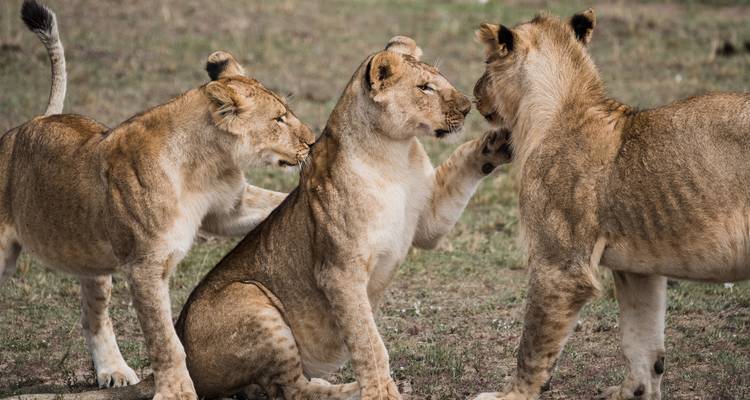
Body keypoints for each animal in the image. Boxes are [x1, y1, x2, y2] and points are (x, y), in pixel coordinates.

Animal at [1, 1, 314, 400]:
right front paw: (177, 391)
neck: (206, 166)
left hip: (92, 261)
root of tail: (31, 123)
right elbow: (165, 340)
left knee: (92, 317)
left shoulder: (229, 208)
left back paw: (114, 371)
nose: (313, 141)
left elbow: (273, 201)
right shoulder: (146, 266)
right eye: (278, 119)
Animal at [471, 8, 750, 400]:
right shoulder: (638, 270)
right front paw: (633, 392)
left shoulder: (560, 267)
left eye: (486, 63)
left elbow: (532, 345)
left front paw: (511, 395)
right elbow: (642, 345)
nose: (474, 94)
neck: (558, 112)